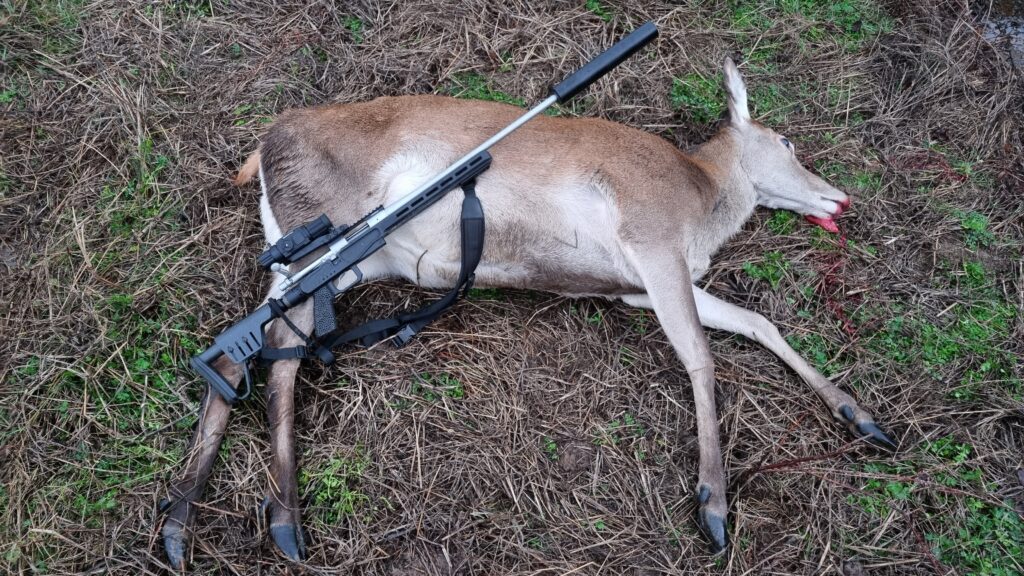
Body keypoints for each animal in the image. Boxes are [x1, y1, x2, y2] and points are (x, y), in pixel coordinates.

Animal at [161, 58, 896, 569]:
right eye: (788, 143)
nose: (840, 197)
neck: (700, 195)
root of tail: (262, 148)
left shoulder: (641, 286)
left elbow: (756, 324)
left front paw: (865, 419)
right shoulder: (652, 242)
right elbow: (700, 354)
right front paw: (713, 507)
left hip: (336, 267)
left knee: (249, 354)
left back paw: (187, 526)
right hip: (321, 244)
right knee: (272, 354)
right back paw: (278, 523)